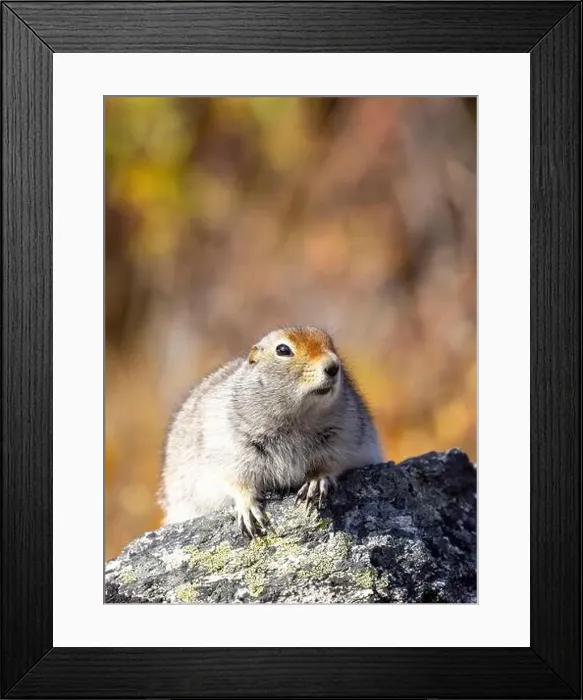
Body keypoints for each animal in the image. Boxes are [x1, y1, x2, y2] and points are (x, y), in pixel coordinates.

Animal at [160, 326, 383, 537]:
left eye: (331, 343)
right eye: (283, 350)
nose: (333, 366)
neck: (296, 419)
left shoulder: (345, 434)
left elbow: (333, 463)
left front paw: (316, 482)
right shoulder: (230, 449)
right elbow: (236, 481)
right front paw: (250, 511)